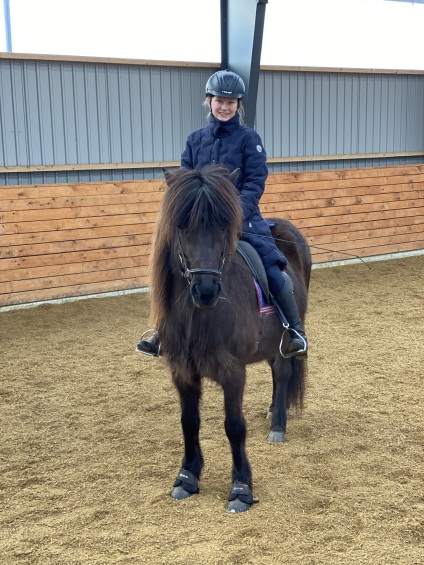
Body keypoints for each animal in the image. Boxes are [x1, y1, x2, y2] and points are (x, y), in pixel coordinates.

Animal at [149, 164, 312, 512]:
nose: (206, 290)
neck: (198, 315)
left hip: (286, 340)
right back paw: (272, 413)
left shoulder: (233, 371)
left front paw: (241, 488)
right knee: (277, 374)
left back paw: (278, 426)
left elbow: (234, 427)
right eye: (182, 226)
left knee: (283, 372)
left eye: (224, 226)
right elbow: (189, 421)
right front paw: (187, 476)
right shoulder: (182, 370)